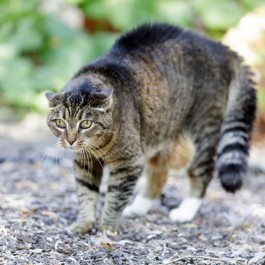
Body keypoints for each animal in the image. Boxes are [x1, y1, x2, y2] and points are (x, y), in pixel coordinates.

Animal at [46, 22, 256, 233]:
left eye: (86, 124)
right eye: (60, 123)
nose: (70, 140)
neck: (98, 145)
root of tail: (220, 47)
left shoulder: (128, 163)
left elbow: (115, 197)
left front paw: (107, 226)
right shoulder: (85, 163)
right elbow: (86, 194)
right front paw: (84, 223)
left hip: (201, 134)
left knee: (204, 172)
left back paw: (185, 211)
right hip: (158, 134)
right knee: (160, 175)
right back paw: (139, 207)